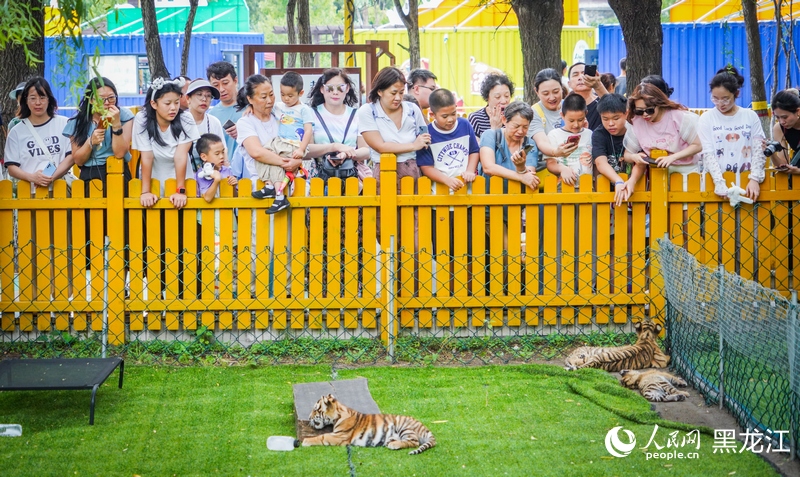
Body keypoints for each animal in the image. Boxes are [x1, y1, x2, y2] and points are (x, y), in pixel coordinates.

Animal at [301, 394, 436, 455]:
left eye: (315, 410)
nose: (308, 417)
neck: (338, 415)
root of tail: (422, 425)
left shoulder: (340, 436)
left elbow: (322, 437)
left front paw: (305, 441)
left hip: (404, 427)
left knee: (415, 442)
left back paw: (394, 445)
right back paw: (391, 442)